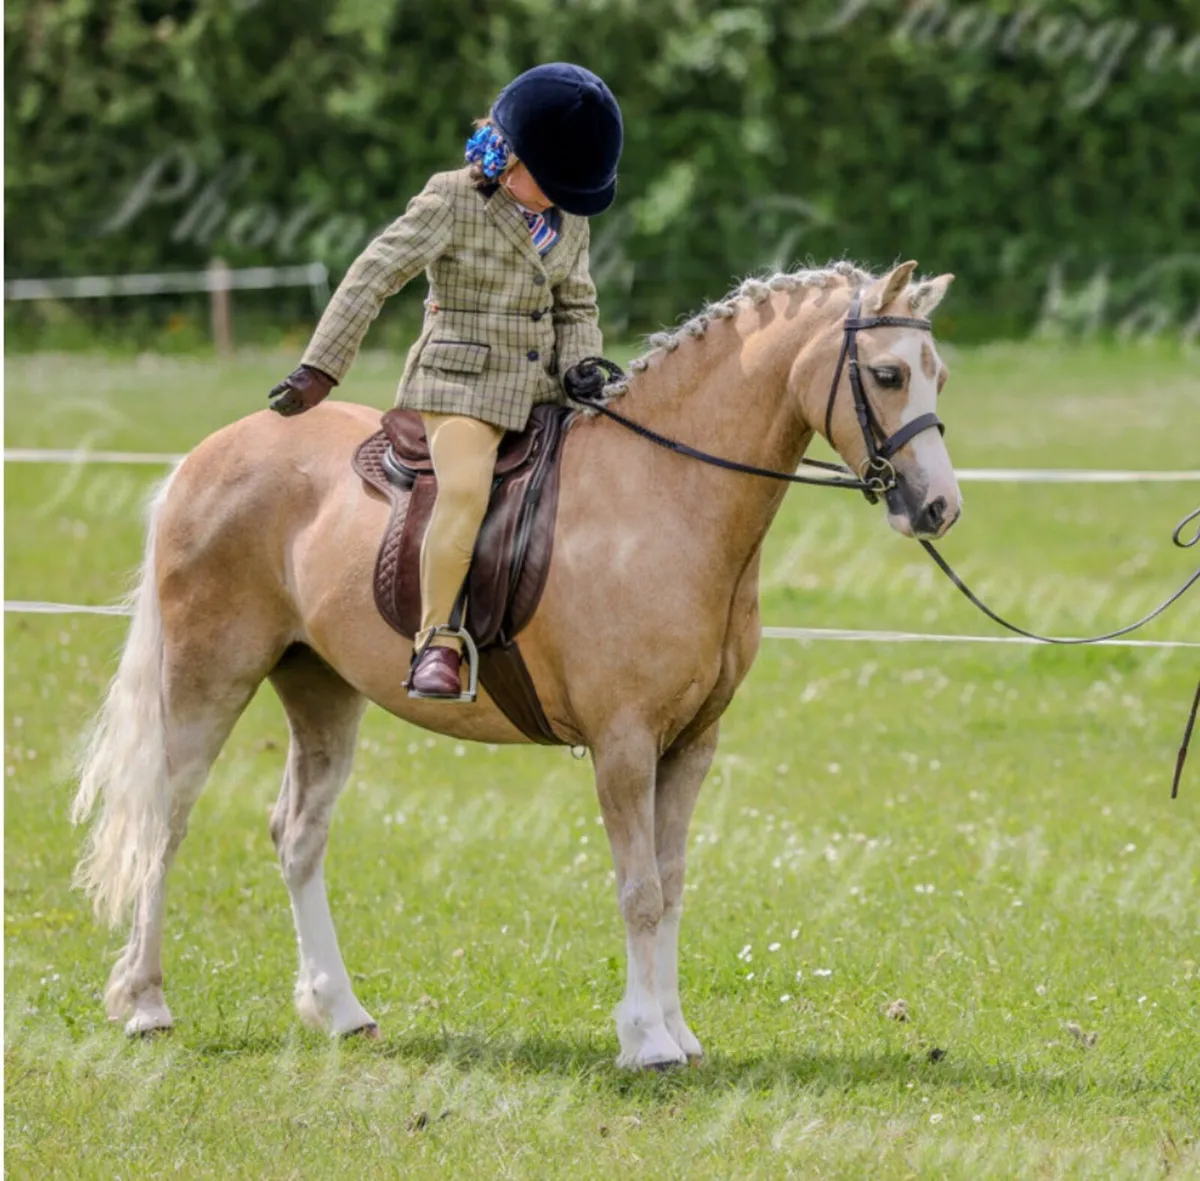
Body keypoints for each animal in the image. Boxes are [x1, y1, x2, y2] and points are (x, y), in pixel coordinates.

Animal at [71, 258, 960, 1069]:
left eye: (937, 375)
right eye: (887, 374)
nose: (938, 507)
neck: (665, 494)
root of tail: (205, 456)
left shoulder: (690, 744)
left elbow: (671, 886)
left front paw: (677, 1031)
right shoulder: (623, 744)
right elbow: (639, 892)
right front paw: (646, 1041)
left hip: (320, 689)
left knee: (297, 834)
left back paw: (341, 1011)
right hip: (208, 677)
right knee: (164, 822)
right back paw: (146, 1004)